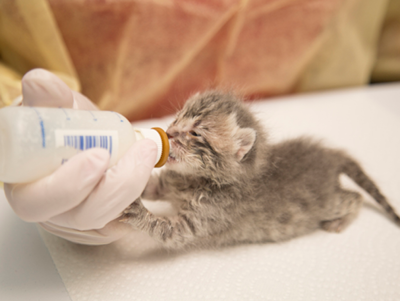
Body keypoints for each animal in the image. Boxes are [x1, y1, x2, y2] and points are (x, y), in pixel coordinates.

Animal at [122, 90, 400, 250]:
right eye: (177, 117)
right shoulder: (168, 183)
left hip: (329, 202)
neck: (194, 181)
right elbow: (151, 185)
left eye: (196, 133)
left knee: (356, 197)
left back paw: (341, 221)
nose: (168, 132)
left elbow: (164, 229)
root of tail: (331, 156)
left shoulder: (195, 224)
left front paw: (136, 210)